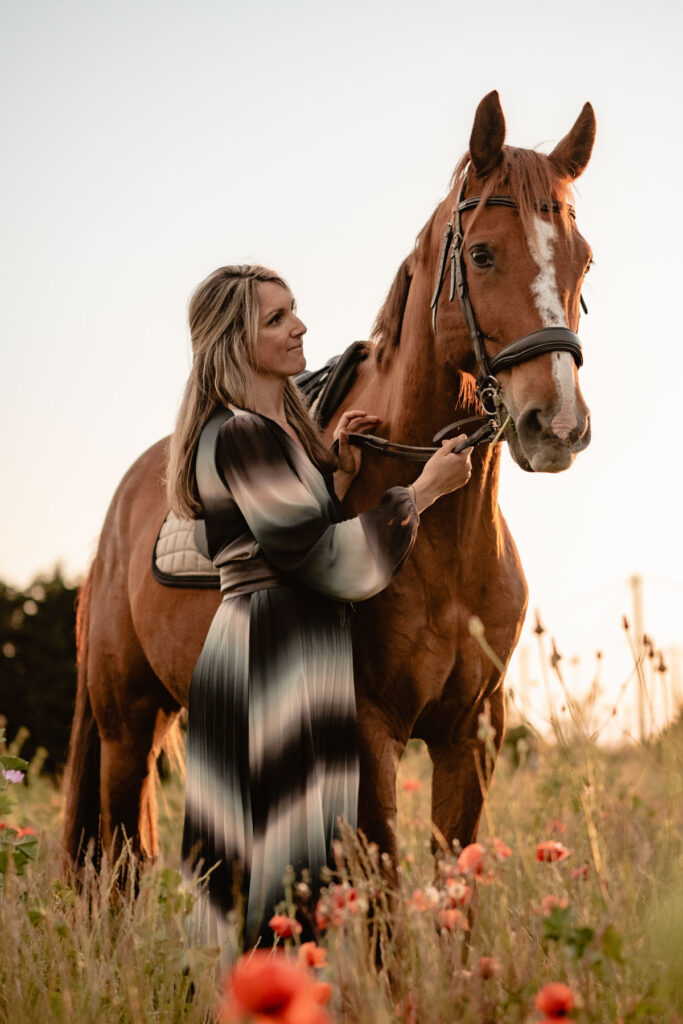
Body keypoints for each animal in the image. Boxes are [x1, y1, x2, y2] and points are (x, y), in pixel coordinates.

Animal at [63, 91, 595, 870]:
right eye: (481, 253)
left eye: (584, 260)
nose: (556, 425)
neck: (446, 544)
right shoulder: (369, 731)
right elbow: (389, 890)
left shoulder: (472, 735)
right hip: (125, 725)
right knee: (121, 858)